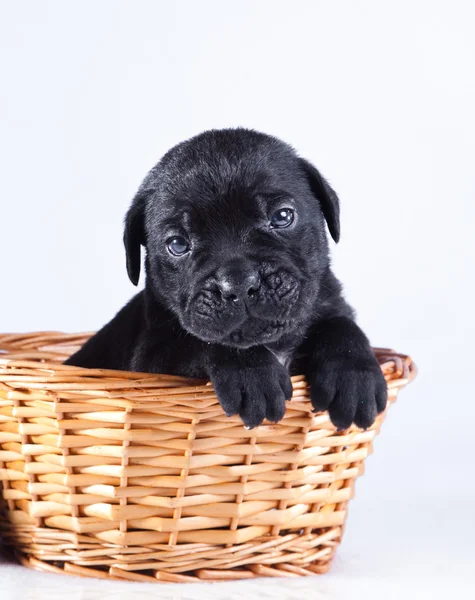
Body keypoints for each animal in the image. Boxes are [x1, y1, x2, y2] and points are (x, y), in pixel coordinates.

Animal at [66, 129, 386, 428]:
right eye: (177, 245)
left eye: (283, 217)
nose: (239, 282)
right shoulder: (151, 359)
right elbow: (204, 343)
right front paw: (251, 375)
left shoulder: (331, 301)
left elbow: (341, 324)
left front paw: (355, 377)